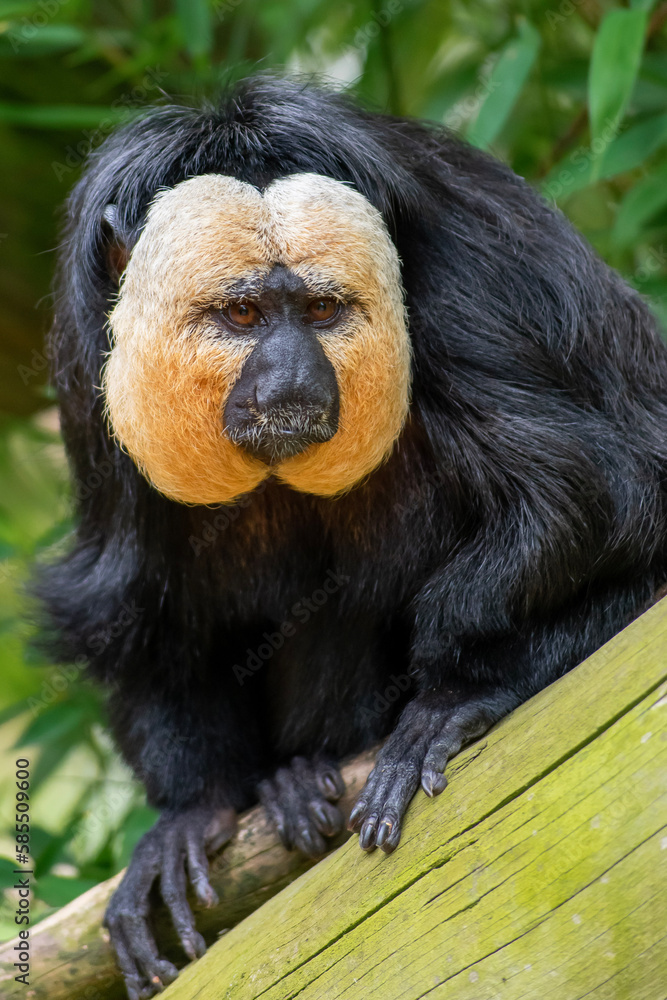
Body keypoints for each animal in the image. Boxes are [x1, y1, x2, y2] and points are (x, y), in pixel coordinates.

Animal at [36, 75, 667, 999]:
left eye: (322, 310)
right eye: (243, 313)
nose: (294, 378)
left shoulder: (467, 284)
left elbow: (597, 490)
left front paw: (462, 685)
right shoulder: (86, 357)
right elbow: (131, 596)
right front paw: (194, 807)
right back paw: (291, 780)